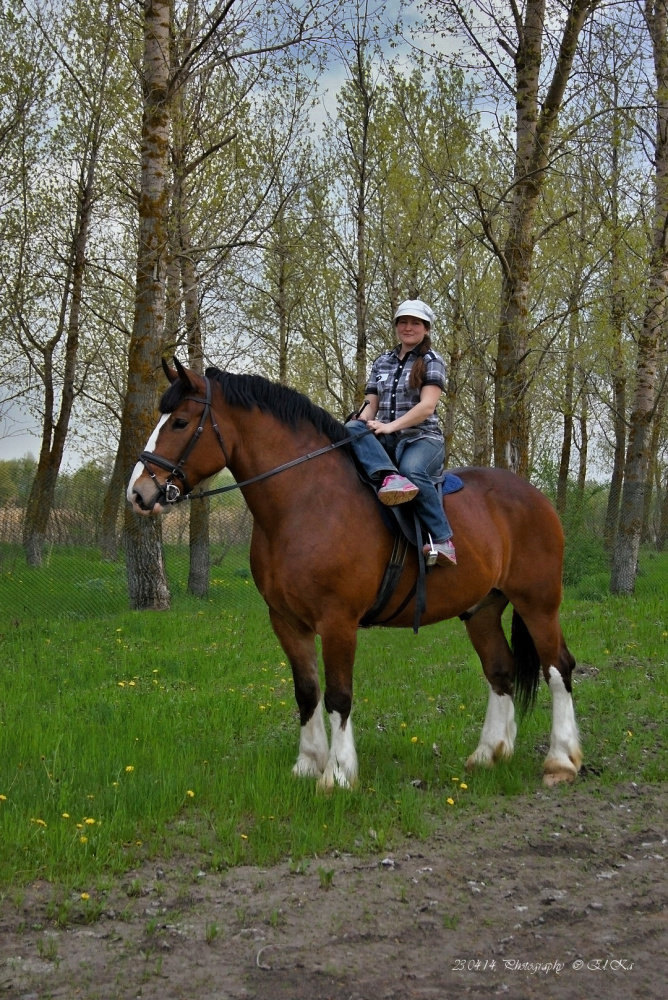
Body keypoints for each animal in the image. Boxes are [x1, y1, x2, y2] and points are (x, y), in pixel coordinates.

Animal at [128, 360, 580, 788]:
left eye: (180, 422)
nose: (139, 493)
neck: (307, 501)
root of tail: (533, 496)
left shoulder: (338, 622)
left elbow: (338, 696)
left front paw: (339, 773)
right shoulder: (286, 621)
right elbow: (307, 692)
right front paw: (307, 764)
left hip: (538, 603)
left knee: (558, 668)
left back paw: (561, 760)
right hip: (482, 609)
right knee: (500, 671)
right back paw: (489, 753)